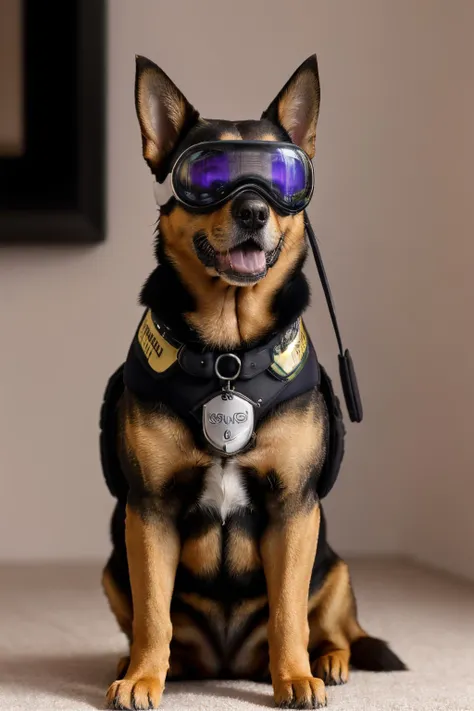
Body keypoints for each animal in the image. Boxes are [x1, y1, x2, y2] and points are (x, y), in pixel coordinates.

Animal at [100, 52, 404, 708]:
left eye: (280, 178)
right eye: (209, 173)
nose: (253, 210)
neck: (228, 354)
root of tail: (229, 659)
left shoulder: (293, 509)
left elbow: (290, 610)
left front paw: (295, 678)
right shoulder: (149, 510)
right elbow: (153, 614)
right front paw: (142, 677)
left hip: (335, 567)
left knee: (334, 626)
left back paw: (329, 662)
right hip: (114, 559)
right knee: (156, 624)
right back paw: (152, 664)